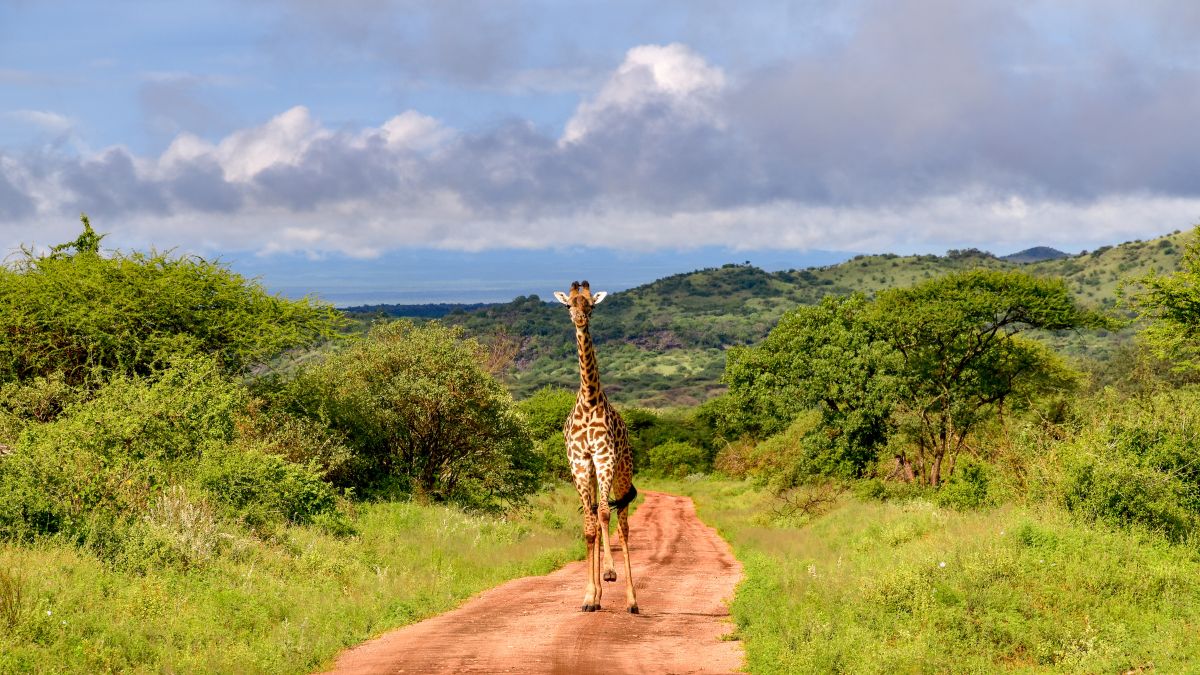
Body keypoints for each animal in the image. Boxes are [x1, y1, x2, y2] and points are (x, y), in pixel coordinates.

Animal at [556, 276, 643, 612]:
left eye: (591, 305)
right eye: (569, 305)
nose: (580, 319)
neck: (589, 399)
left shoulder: (604, 458)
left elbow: (605, 515)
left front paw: (609, 572)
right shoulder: (581, 463)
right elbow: (589, 524)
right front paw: (589, 595)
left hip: (622, 470)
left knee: (623, 524)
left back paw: (632, 600)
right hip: (593, 473)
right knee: (595, 512)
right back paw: (597, 597)